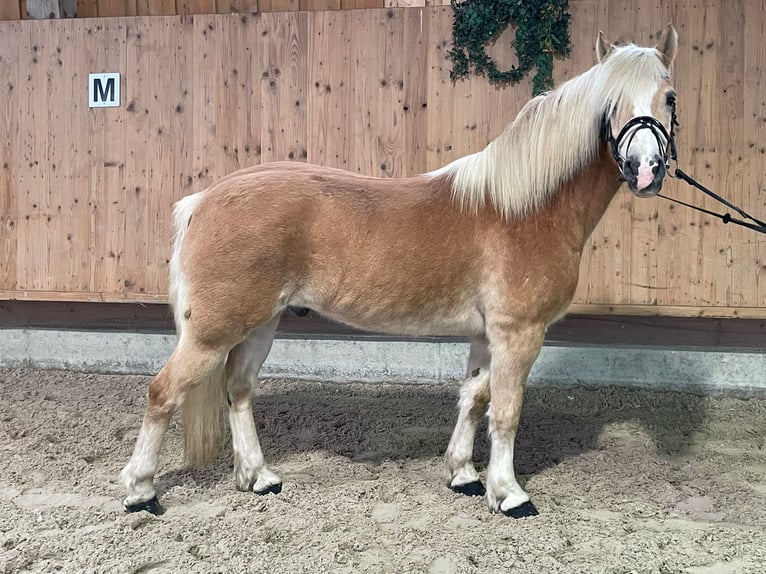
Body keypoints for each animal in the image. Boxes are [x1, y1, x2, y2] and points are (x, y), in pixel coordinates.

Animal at [121, 24, 684, 520]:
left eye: (670, 98)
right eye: (610, 104)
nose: (646, 170)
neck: (525, 208)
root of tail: (202, 201)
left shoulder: (487, 335)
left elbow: (474, 399)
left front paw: (464, 475)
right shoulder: (519, 333)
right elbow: (505, 411)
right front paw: (509, 493)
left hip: (260, 324)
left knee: (238, 390)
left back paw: (259, 477)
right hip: (212, 333)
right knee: (163, 392)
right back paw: (141, 492)